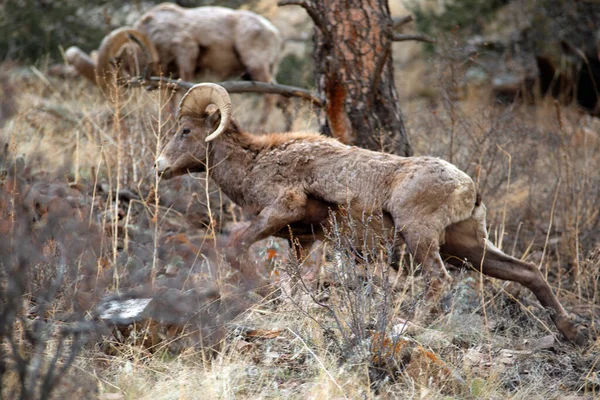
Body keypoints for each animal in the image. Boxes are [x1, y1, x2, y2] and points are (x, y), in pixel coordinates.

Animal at [155, 83, 592, 346]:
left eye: (185, 132)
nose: (159, 167)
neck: (255, 162)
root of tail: (468, 188)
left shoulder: (280, 211)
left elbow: (235, 247)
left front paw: (258, 290)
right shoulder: (303, 240)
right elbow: (295, 283)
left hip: (421, 238)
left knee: (439, 281)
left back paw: (408, 325)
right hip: (468, 248)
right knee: (528, 272)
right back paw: (573, 332)